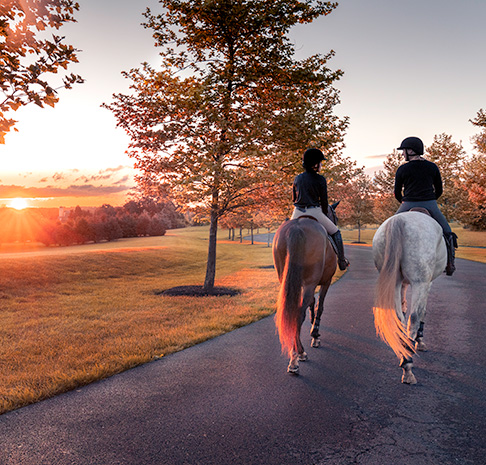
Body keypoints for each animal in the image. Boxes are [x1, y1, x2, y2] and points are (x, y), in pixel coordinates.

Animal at [274, 202, 338, 374]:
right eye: (335, 217)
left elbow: (312, 303)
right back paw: (298, 355)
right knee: (298, 314)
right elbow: (319, 306)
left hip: (287, 280)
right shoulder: (326, 281)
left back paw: (295, 355)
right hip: (311, 282)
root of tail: (297, 227)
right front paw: (315, 334)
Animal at [372, 211, 448, 384]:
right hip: (420, 282)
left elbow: (403, 309)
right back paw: (408, 364)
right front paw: (420, 341)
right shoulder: (427, 283)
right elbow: (422, 312)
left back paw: (404, 354)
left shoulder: (402, 283)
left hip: (394, 280)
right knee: (414, 317)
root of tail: (400, 220)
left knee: (399, 317)